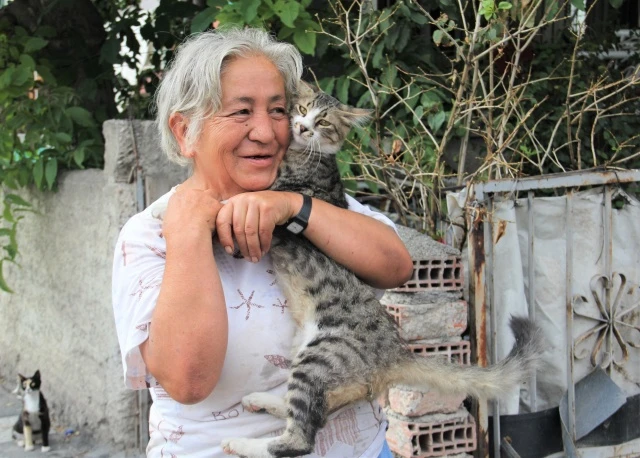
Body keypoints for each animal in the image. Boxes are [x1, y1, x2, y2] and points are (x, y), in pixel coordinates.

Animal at [219, 83, 540, 458]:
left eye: (323, 121)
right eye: (300, 108)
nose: (301, 127)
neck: (300, 155)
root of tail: (395, 350)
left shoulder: (278, 197)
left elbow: (251, 197)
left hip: (320, 355)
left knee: (300, 438)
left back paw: (241, 443)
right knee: (309, 410)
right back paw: (261, 401)